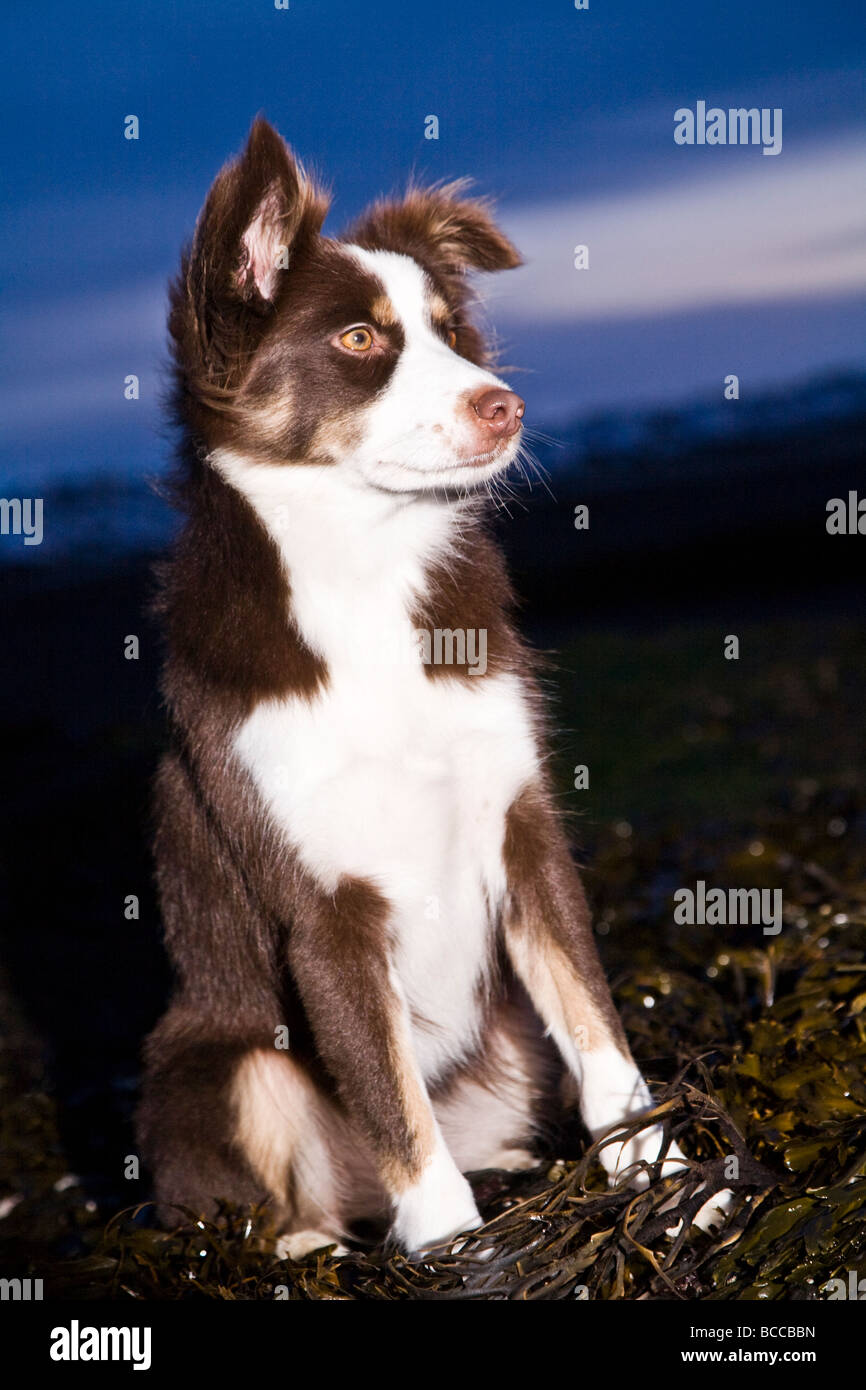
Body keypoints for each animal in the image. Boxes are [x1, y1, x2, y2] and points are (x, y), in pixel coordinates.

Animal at [136, 113, 733, 1256]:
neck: (365, 564)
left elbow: (599, 1031)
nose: (506, 408)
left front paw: (668, 1181)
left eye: (453, 332)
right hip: (217, 1061)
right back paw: (320, 1249)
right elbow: (392, 1107)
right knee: (253, 1197)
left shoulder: (522, 826)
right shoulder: (323, 911)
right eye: (361, 342)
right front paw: (462, 1253)